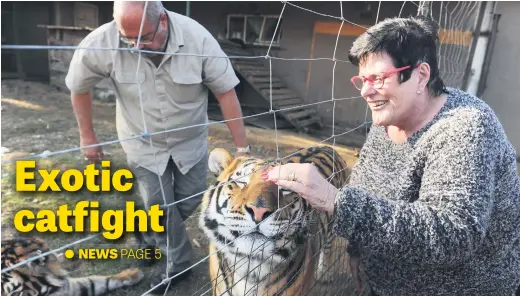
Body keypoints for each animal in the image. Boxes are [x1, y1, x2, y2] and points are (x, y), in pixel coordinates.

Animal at [199, 146, 366, 296]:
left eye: (285, 189)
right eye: (241, 182)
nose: (259, 212)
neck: (251, 267)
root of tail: (330, 148)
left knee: (328, 247)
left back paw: (325, 273)